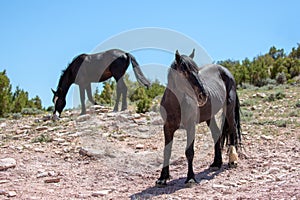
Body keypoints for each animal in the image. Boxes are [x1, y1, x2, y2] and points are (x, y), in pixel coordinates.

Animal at [155, 49, 241, 186]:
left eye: (197, 70)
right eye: (184, 72)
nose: (203, 95)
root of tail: (226, 71)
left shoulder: (191, 126)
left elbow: (189, 152)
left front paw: (190, 178)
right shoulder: (167, 127)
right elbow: (166, 151)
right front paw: (163, 178)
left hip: (229, 109)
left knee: (232, 129)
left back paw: (232, 160)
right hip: (209, 116)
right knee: (216, 133)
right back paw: (216, 163)